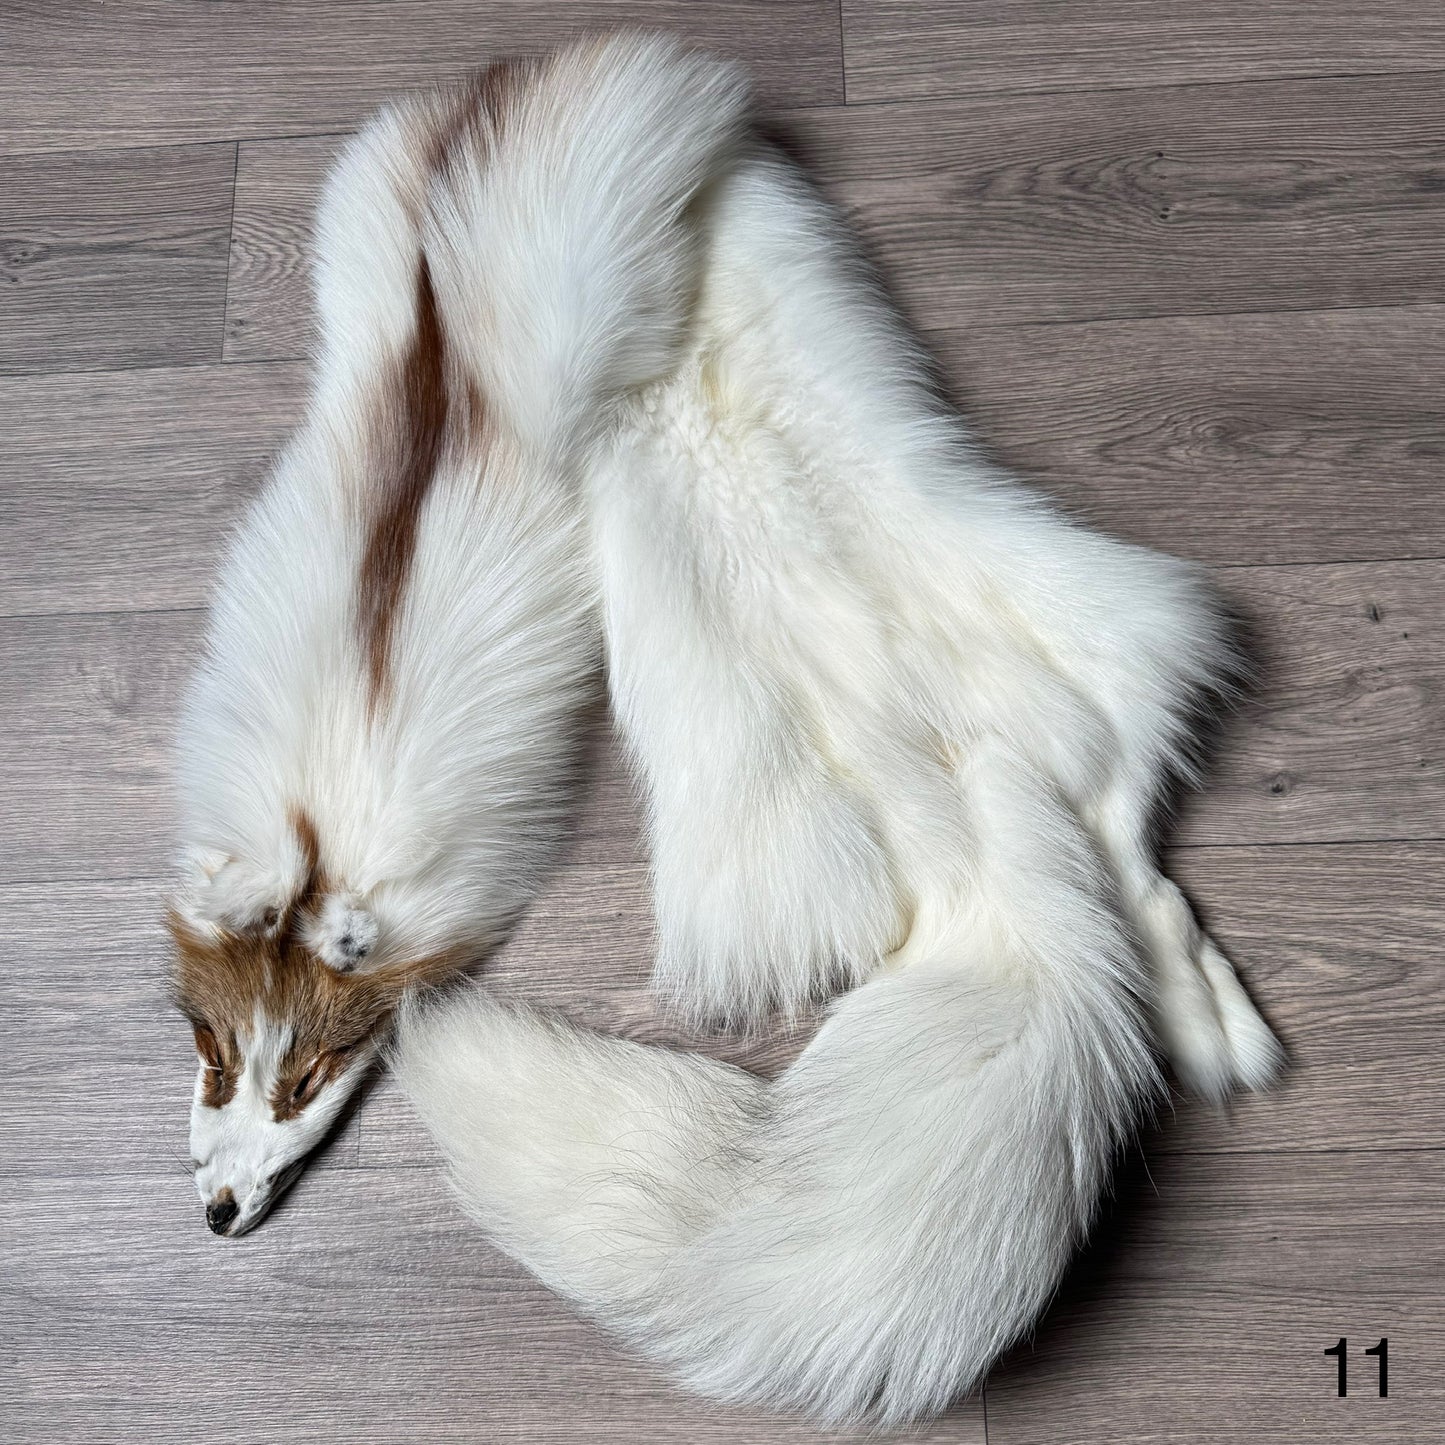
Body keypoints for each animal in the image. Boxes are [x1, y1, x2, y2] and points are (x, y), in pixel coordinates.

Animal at [391, 114, 1283, 1424]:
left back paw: (1214, 1026)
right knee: (1140, 874)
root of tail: (968, 822)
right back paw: (1216, 1028)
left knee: (1134, 865)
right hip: (1068, 707)